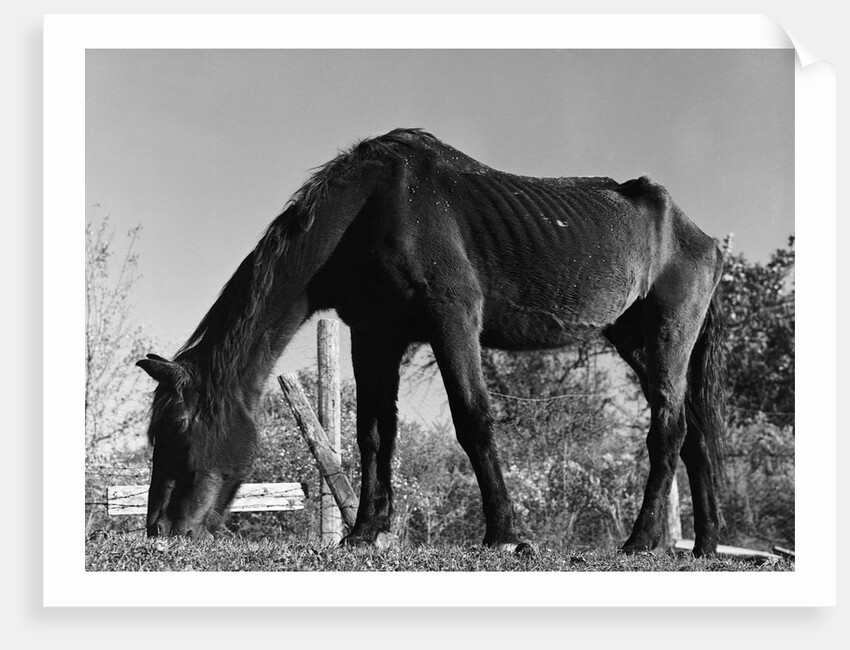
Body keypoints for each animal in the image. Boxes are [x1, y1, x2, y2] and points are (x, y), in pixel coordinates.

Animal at [137, 128, 726, 556]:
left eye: (180, 428)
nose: (160, 531)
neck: (374, 207)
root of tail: (703, 237)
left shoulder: (453, 319)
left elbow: (473, 419)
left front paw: (505, 535)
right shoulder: (374, 335)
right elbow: (375, 433)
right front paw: (364, 532)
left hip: (666, 343)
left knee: (668, 434)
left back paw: (641, 541)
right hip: (641, 346)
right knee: (694, 437)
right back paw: (705, 547)